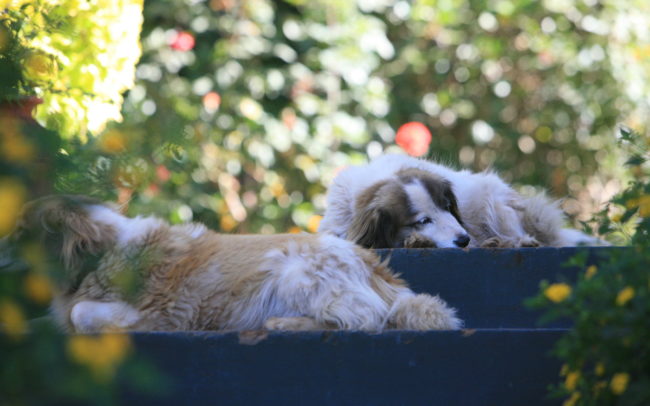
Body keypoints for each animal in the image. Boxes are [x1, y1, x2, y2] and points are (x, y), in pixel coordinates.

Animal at [7, 196, 458, 334]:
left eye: (18, 232)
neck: (102, 255)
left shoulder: (164, 314)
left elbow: (81, 314)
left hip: (296, 274)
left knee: (366, 320)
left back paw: (284, 324)